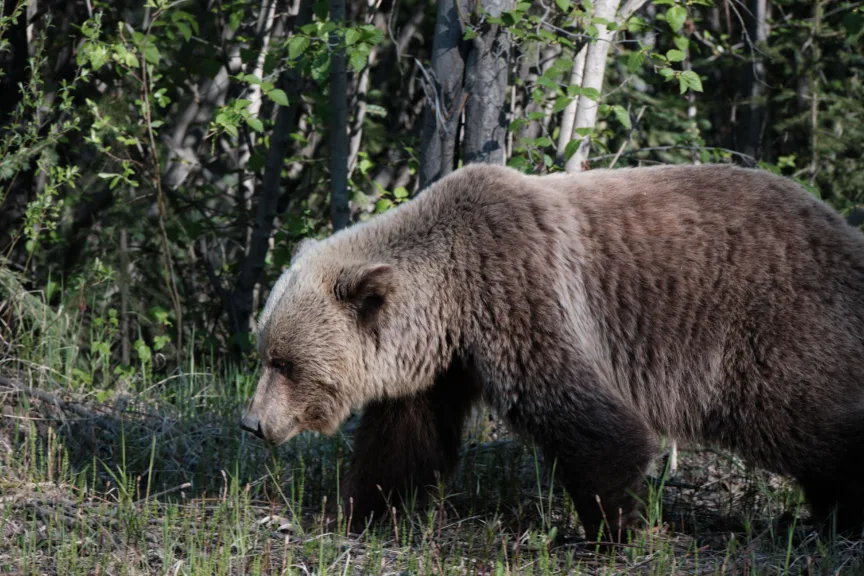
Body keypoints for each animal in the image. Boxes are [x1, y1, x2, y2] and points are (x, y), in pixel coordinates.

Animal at [240, 164, 864, 544]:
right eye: (265, 352)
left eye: (284, 363)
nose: (252, 423)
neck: (449, 297)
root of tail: (841, 229)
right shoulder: (439, 365)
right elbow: (402, 442)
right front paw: (356, 510)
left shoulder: (523, 291)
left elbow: (585, 417)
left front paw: (614, 528)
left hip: (770, 330)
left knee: (808, 419)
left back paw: (845, 513)